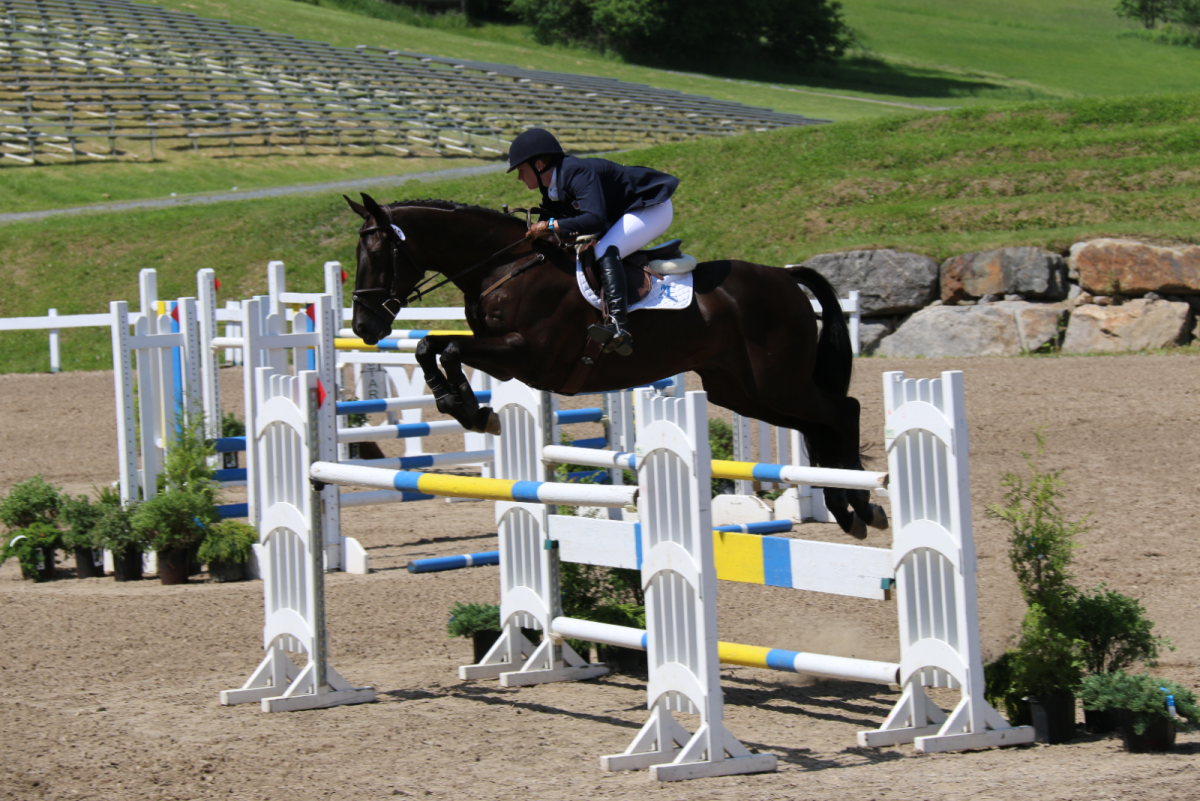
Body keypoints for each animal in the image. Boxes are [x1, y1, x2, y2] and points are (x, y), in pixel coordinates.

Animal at [343, 193, 888, 537]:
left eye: (378, 252)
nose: (365, 326)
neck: (505, 265)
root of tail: (785, 276)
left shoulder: (526, 355)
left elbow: (450, 350)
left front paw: (473, 411)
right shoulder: (502, 353)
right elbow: (429, 346)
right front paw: (461, 405)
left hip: (777, 383)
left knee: (843, 410)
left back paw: (863, 505)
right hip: (744, 391)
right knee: (816, 424)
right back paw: (846, 509)